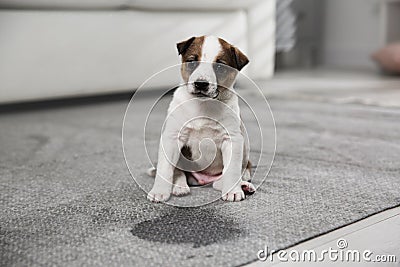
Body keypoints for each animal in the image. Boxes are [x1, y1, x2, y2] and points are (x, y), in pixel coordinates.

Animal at [148, 35, 256, 203]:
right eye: (192, 62)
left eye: (220, 67)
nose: (201, 84)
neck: (203, 105)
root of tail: (204, 180)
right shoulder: (172, 137)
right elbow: (166, 169)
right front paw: (159, 192)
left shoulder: (232, 139)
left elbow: (232, 170)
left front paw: (233, 191)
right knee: (179, 172)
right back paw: (180, 187)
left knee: (224, 180)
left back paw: (243, 185)